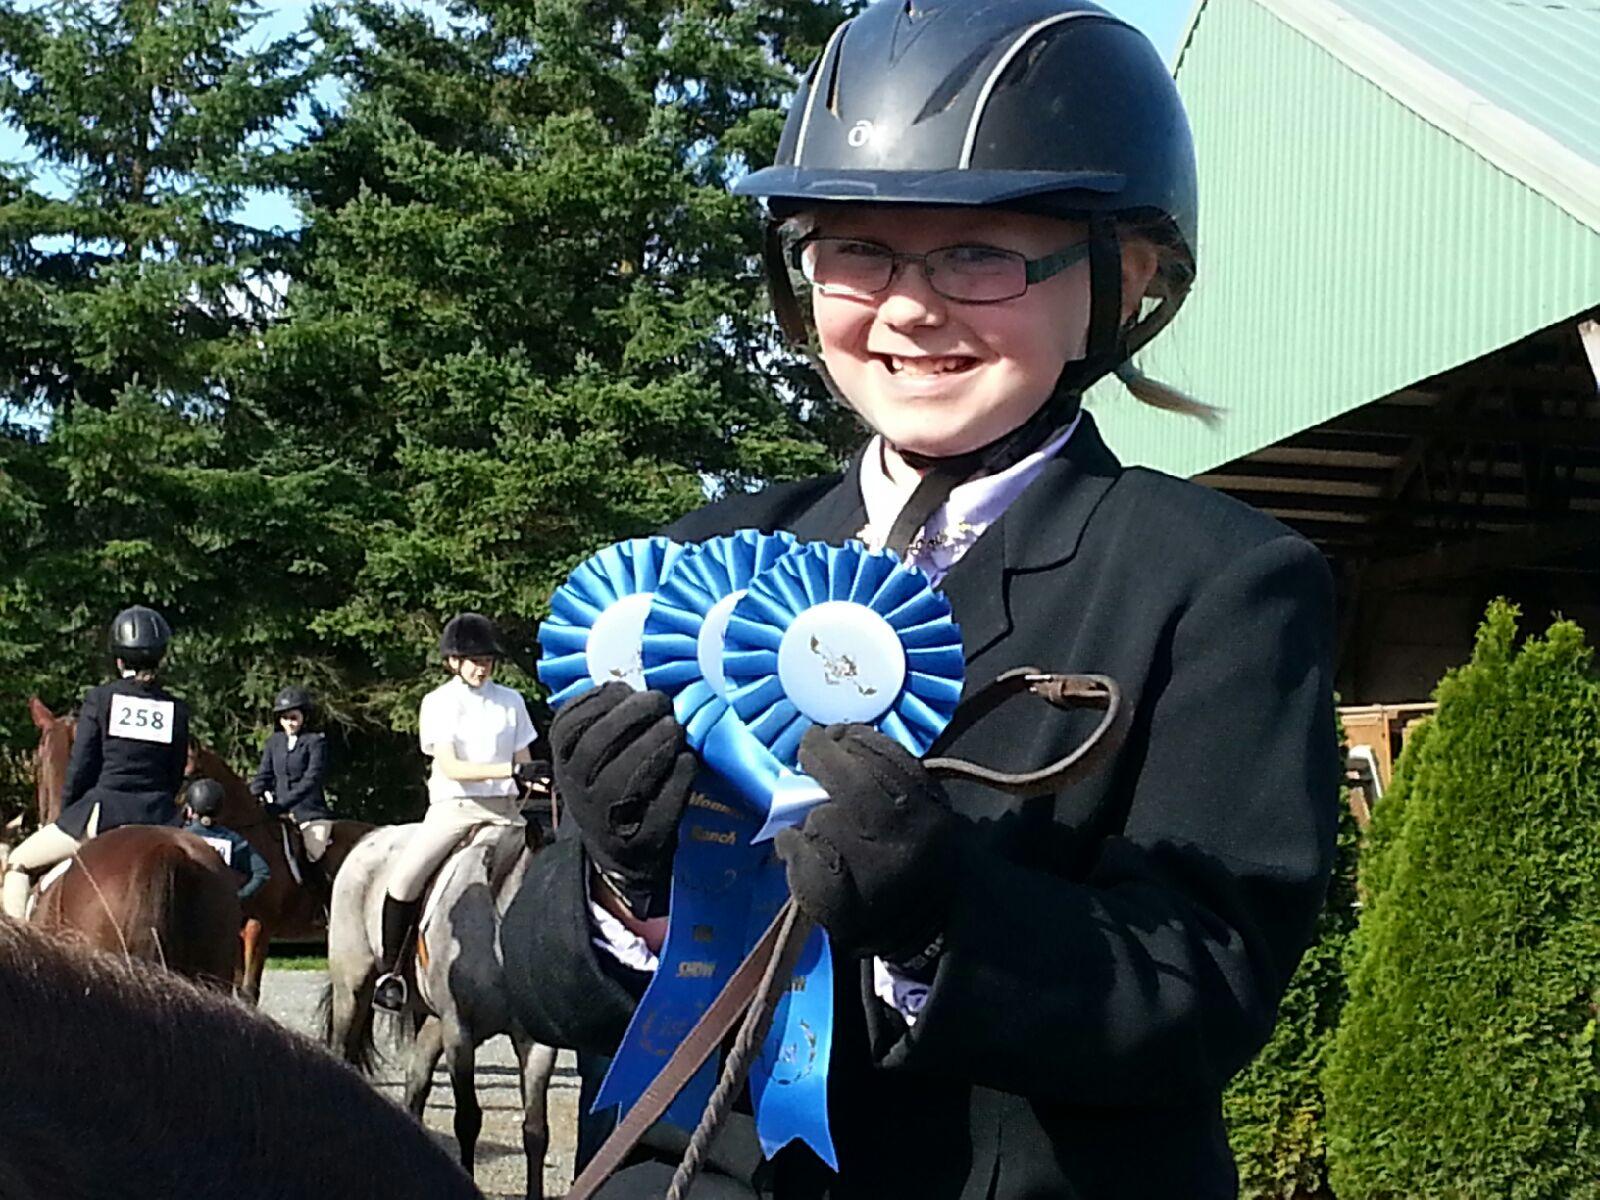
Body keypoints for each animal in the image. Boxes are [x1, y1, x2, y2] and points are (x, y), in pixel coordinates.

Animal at [321, 825, 560, 1200]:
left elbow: (535, 1130)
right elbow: (467, 1120)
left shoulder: (536, 1044)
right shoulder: (458, 1031)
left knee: (416, 1083)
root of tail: (368, 840)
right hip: (353, 993)